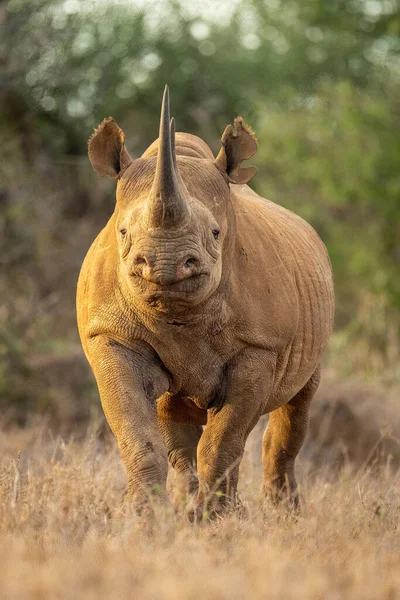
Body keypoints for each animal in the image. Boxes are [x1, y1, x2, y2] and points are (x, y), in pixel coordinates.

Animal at [76, 85, 334, 520]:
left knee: (297, 405)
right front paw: (144, 517)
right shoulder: (112, 335)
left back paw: (281, 513)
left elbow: (223, 441)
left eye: (215, 233)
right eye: (123, 232)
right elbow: (137, 435)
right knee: (175, 418)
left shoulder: (259, 347)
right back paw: (187, 506)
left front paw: (213, 521)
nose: (165, 264)